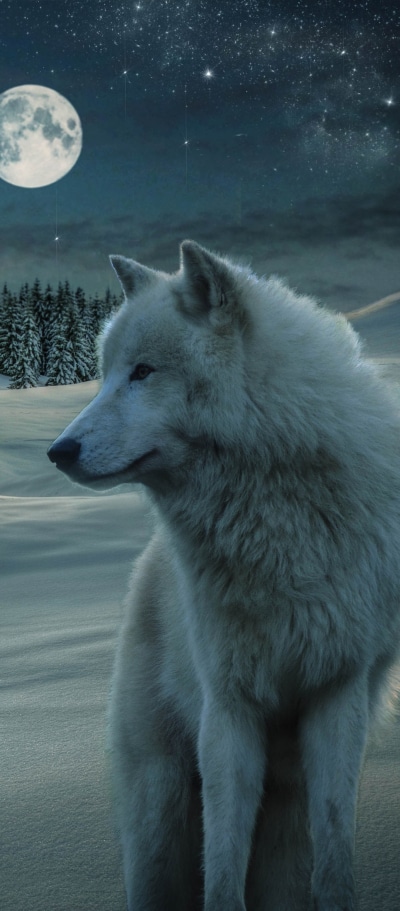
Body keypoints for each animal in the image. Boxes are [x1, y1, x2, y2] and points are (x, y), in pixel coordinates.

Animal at [48, 241, 400, 911]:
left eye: (143, 372)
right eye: (106, 374)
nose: (59, 451)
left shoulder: (337, 694)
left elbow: (335, 854)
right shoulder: (228, 709)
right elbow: (222, 867)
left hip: (285, 816)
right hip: (159, 812)